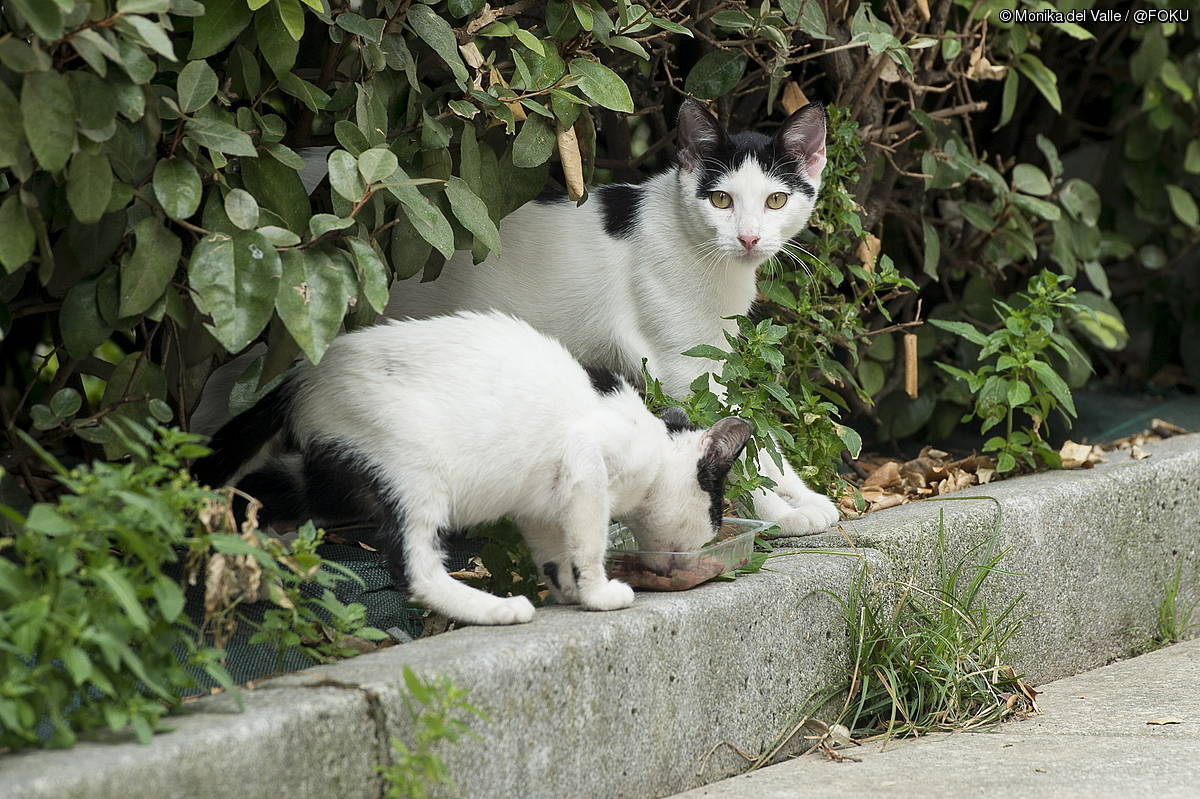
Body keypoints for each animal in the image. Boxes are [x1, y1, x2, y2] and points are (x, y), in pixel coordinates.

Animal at [193, 309, 753, 623]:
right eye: (716, 511)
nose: (710, 537)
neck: (651, 448)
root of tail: (302, 377)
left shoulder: (541, 505)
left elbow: (555, 553)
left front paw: (569, 592)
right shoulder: (585, 466)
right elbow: (589, 543)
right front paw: (598, 594)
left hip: (330, 471)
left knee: (260, 486)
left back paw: (251, 561)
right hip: (413, 470)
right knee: (412, 568)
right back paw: (495, 609)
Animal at [388, 101, 840, 535]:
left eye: (776, 200)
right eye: (721, 200)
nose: (748, 238)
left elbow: (759, 435)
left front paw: (804, 496)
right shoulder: (684, 370)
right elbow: (729, 439)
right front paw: (778, 513)